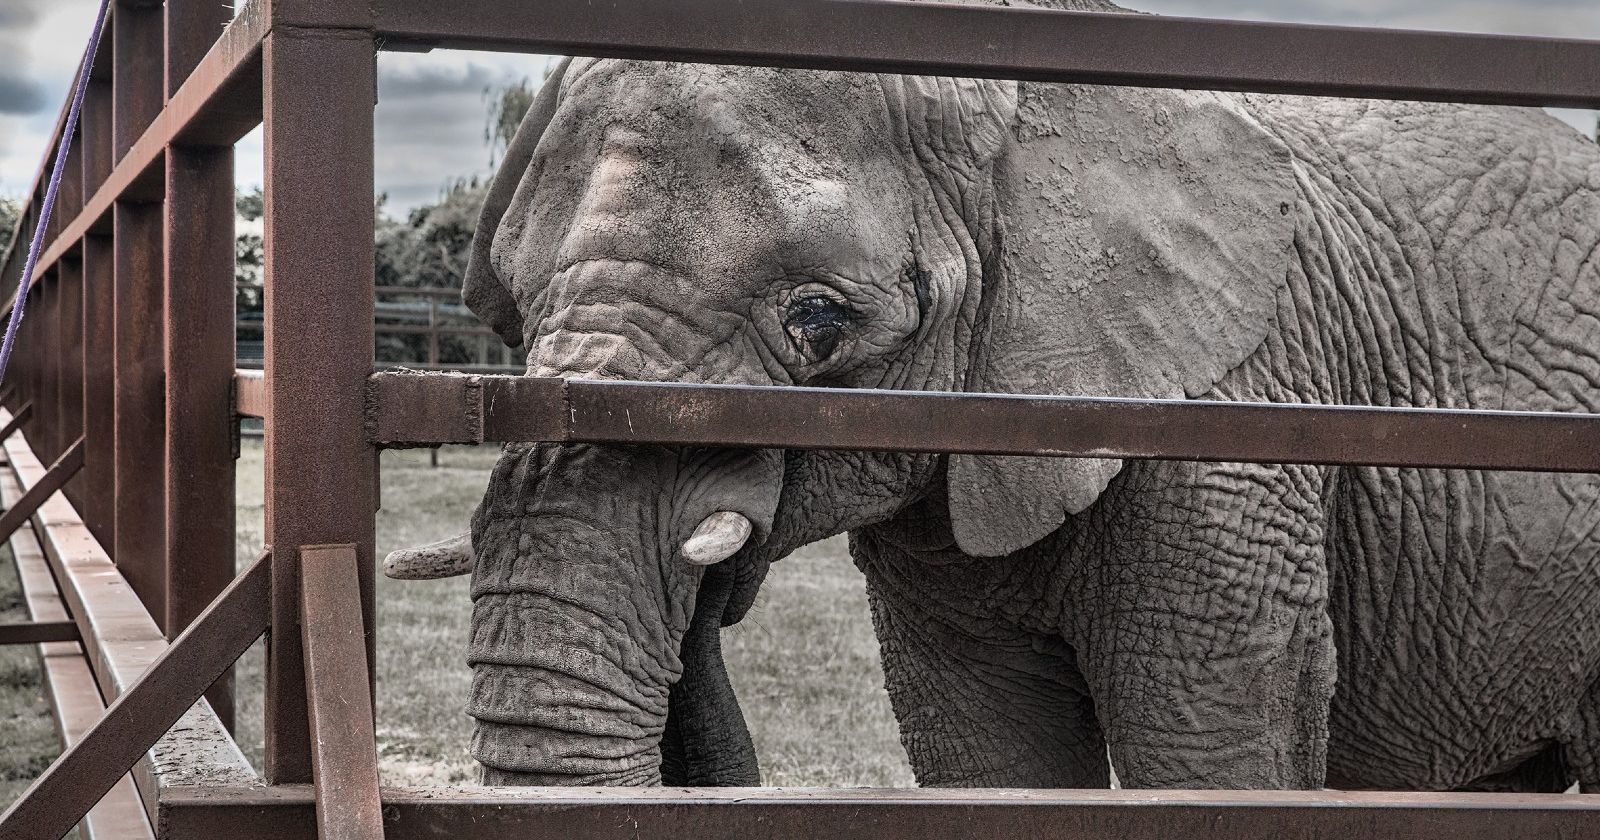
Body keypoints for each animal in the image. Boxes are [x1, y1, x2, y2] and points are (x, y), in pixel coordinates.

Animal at [383, 0, 1600, 791]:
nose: (712, 579)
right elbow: (988, 749)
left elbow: (1210, 746)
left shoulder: (1232, 431)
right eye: (503, 312)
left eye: (817, 321)